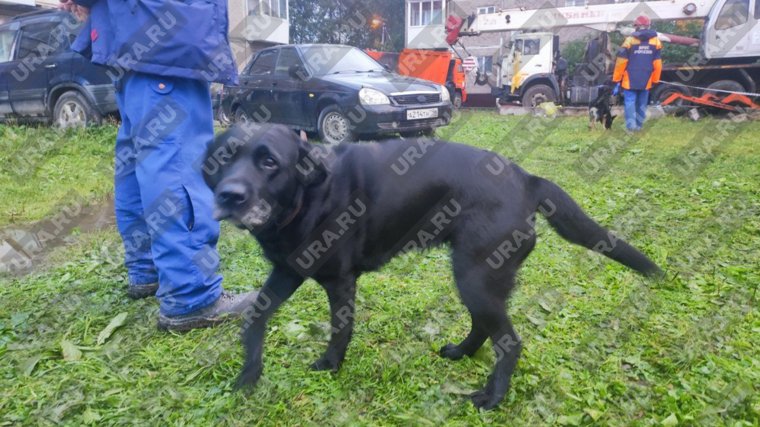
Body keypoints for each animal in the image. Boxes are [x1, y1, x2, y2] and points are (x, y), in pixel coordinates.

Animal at [205, 123, 664, 412]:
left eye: (269, 162)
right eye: (223, 159)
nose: (229, 196)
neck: (308, 193)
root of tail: (527, 178)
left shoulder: (338, 280)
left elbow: (340, 329)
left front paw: (330, 364)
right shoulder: (289, 270)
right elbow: (255, 316)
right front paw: (249, 375)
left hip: (475, 274)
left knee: (509, 341)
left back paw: (491, 398)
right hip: (476, 274)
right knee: (484, 327)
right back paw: (461, 353)